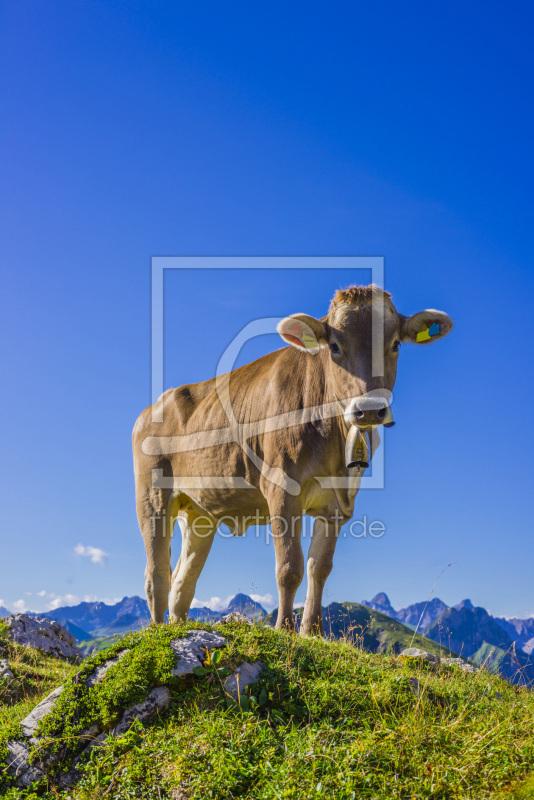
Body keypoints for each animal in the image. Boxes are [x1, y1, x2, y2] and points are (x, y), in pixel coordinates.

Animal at [133, 284, 452, 636]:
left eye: (395, 345)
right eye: (335, 347)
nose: (369, 409)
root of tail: (154, 406)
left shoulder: (337, 505)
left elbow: (319, 567)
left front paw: (313, 632)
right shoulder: (281, 487)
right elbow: (290, 566)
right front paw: (285, 629)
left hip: (199, 512)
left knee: (183, 580)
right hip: (152, 498)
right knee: (156, 574)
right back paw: (157, 631)